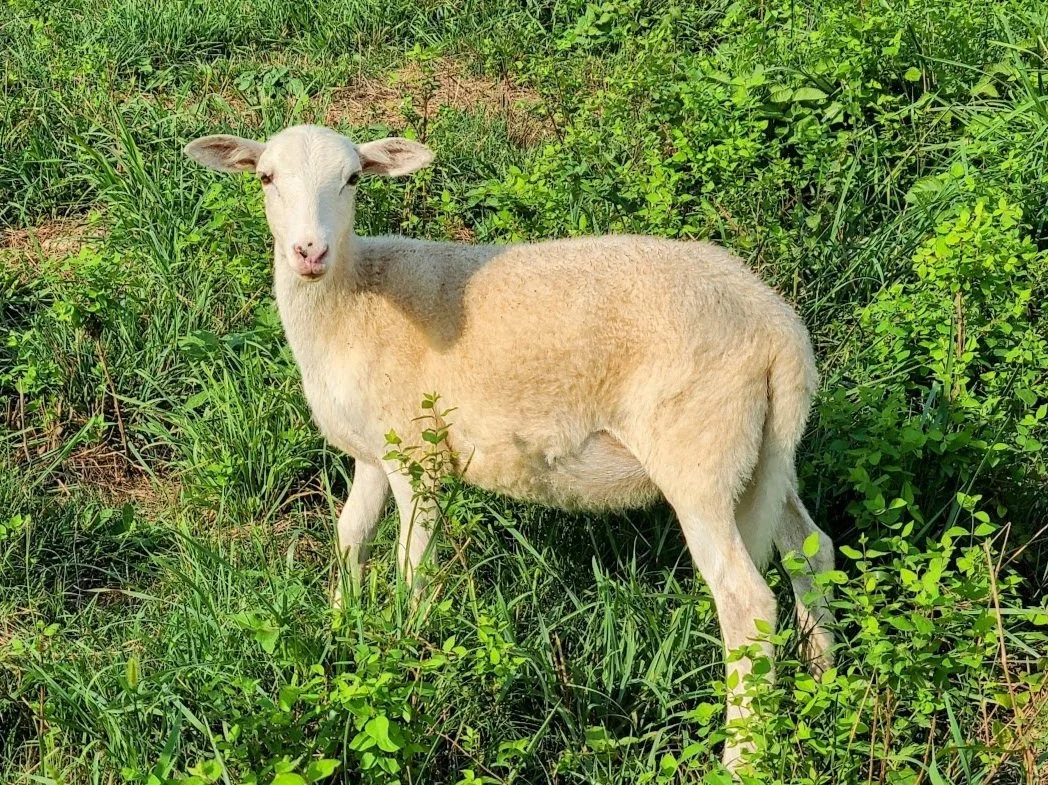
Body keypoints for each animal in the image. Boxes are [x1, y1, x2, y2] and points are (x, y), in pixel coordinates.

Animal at [184, 124, 836, 771]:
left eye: (352, 179)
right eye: (266, 177)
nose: (309, 253)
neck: (353, 298)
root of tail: (779, 329)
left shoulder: (417, 453)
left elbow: (412, 567)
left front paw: (411, 658)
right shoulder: (375, 449)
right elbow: (351, 535)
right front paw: (340, 630)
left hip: (699, 450)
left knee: (747, 601)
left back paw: (742, 756)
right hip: (764, 452)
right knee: (811, 549)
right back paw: (825, 681)